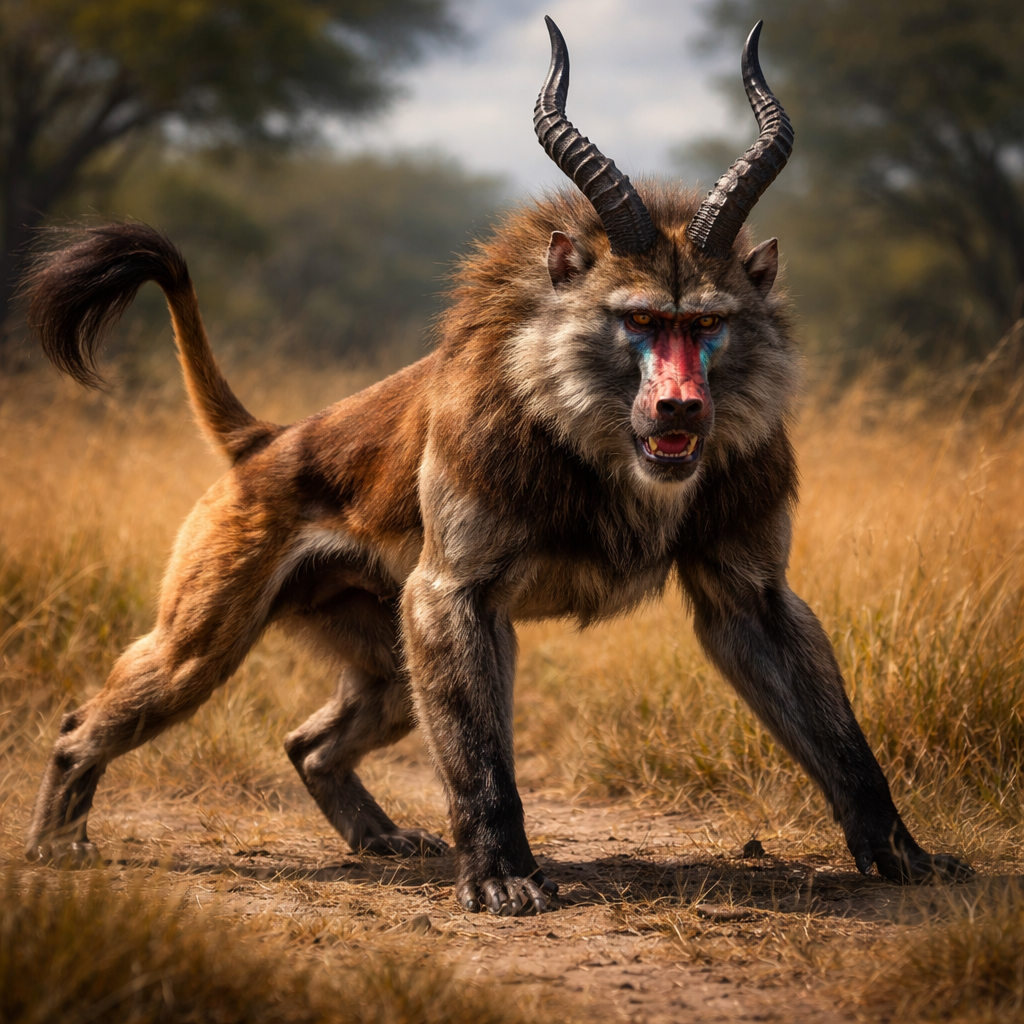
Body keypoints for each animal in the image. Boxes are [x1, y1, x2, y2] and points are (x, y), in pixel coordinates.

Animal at [22, 19, 972, 915]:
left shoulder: (753, 592)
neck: (607, 446)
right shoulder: (454, 593)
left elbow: (841, 740)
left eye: (706, 323)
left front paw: (907, 858)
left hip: (385, 664)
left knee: (307, 742)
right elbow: (480, 761)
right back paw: (56, 846)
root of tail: (268, 439)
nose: (681, 409)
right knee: (82, 725)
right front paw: (503, 882)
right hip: (203, 645)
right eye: (638, 319)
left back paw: (378, 839)